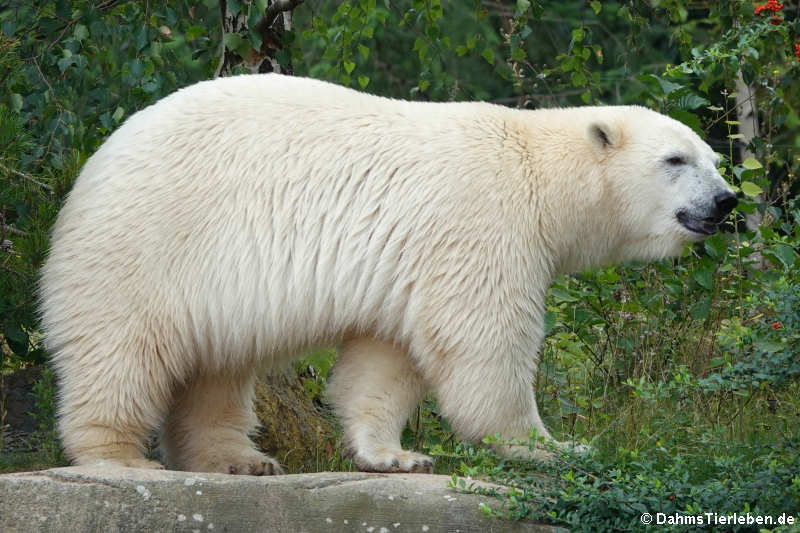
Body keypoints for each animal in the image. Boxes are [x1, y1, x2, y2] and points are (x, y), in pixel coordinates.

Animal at [39, 72, 736, 472]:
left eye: (713, 157)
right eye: (675, 160)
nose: (726, 201)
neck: (537, 172)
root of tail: (93, 165)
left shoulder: (413, 261)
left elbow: (385, 360)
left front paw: (395, 455)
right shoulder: (480, 223)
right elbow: (483, 341)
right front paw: (553, 446)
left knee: (217, 367)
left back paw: (239, 460)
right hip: (151, 245)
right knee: (123, 350)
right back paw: (119, 459)